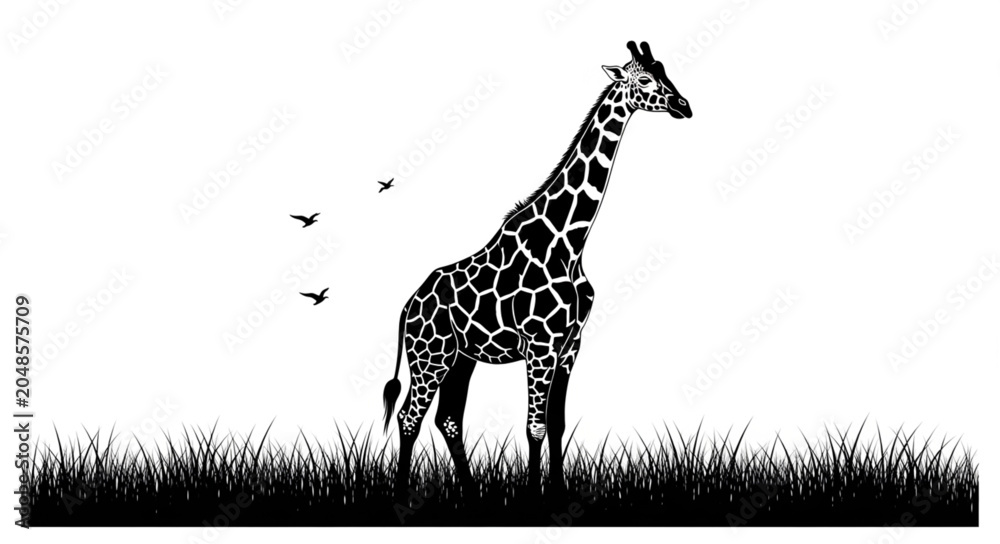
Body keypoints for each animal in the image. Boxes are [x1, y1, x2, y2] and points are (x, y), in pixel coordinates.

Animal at [382, 41, 691, 496]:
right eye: (644, 80)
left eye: (666, 72)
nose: (683, 106)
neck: (569, 242)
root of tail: (408, 307)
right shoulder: (540, 345)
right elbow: (535, 427)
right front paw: (533, 494)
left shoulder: (570, 346)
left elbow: (557, 424)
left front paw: (559, 491)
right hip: (430, 355)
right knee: (409, 418)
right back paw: (403, 495)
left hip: (460, 359)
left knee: (447, 418)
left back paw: (470, 493)